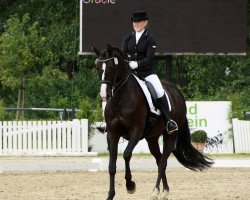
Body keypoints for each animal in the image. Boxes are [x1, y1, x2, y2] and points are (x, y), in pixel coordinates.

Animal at [92, 45, 213, 200]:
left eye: (112, 67)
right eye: (98, 67)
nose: (104, 95)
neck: (120, 99)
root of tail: (177, 92)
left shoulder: (136, 132)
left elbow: (126, 154)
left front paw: (130, 185)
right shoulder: (112, 133)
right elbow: (112, 166)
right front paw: (110, 195)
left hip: (170, 135)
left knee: (163, 162)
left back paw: (156, 191)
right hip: (152, 138)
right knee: (159, 159)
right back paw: (165, 190)